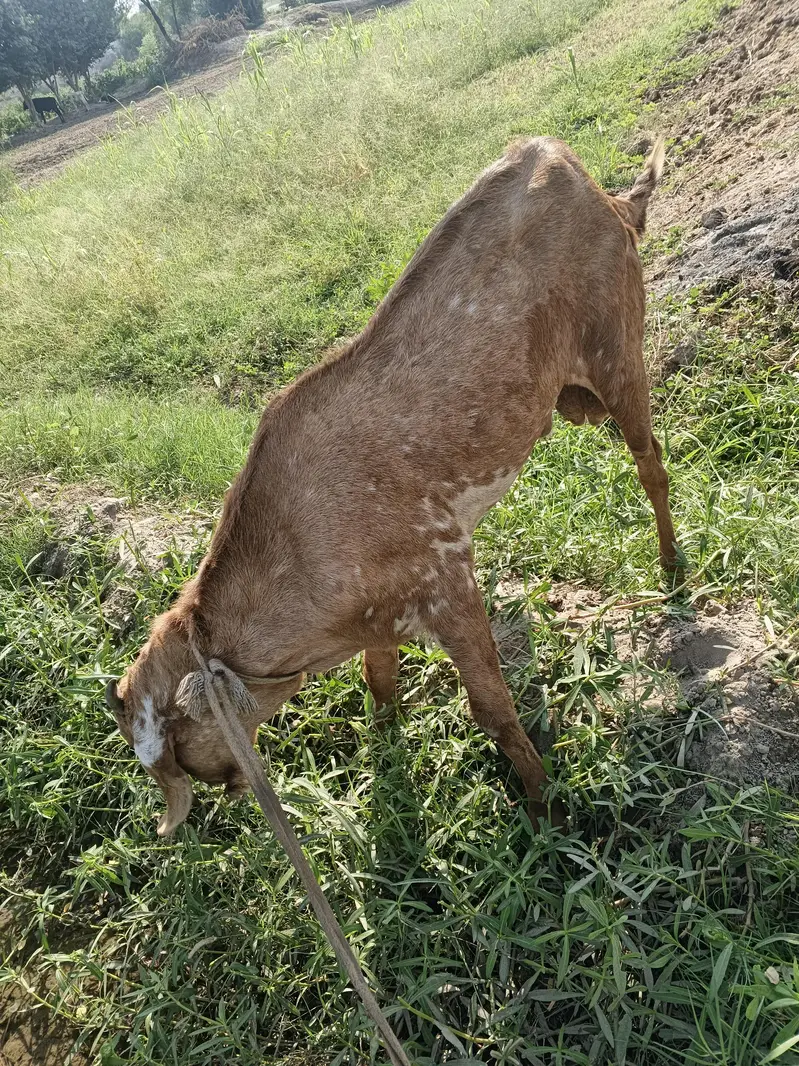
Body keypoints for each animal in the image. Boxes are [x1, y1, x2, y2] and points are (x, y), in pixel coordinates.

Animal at [106, 137, 678, 835]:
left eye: (178, 751)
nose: (231, 785)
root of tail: (608, 196)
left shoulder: (445, 577)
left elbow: (491, 711)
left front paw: (546, 810)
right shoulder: (375, 618)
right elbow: (379, 685)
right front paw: (384, 763)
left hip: (616, 346)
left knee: (652, 462)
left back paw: (673, 569)